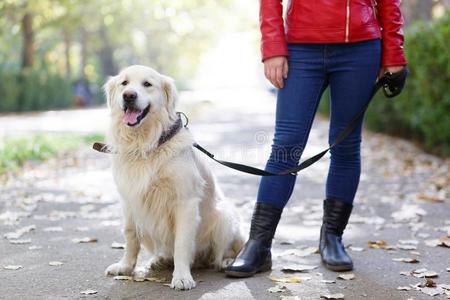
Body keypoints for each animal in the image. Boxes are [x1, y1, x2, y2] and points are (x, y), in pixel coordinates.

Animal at [103, 64, 243, 290]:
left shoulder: (185, 202)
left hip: (225, 216)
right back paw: (160, 259)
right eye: (124, 83)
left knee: (223, 252)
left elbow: (182, 243)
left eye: (147, 84)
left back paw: (227, 261)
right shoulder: (129, 199)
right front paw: (125, 267)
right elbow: (130, 234)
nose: (129, 95)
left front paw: (182, 277)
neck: (146, 144)